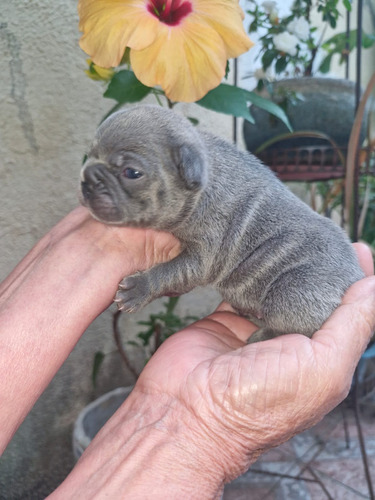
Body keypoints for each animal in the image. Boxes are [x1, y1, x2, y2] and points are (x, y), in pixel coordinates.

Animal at [80, 105, 364, 340]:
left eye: (132, 173)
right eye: (88, 156)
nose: (88, 177)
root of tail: (356, 275)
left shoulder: (205, 252)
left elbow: (170, 272)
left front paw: (140, 288)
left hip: (293, 292)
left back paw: (262, 335)